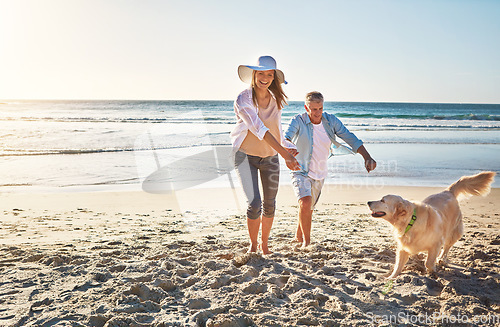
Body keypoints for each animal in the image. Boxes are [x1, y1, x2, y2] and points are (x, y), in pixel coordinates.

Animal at [368, 172, 496, 280]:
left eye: (383, 200)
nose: (368, 202)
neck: (410, 222)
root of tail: (448, 191)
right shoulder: (403, 248)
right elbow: (398, 265)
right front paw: (390, 278)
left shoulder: (436, 243)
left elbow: (429, 262)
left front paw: (433, 272)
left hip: (452, 232)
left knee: (447, 247)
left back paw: (441, 259)